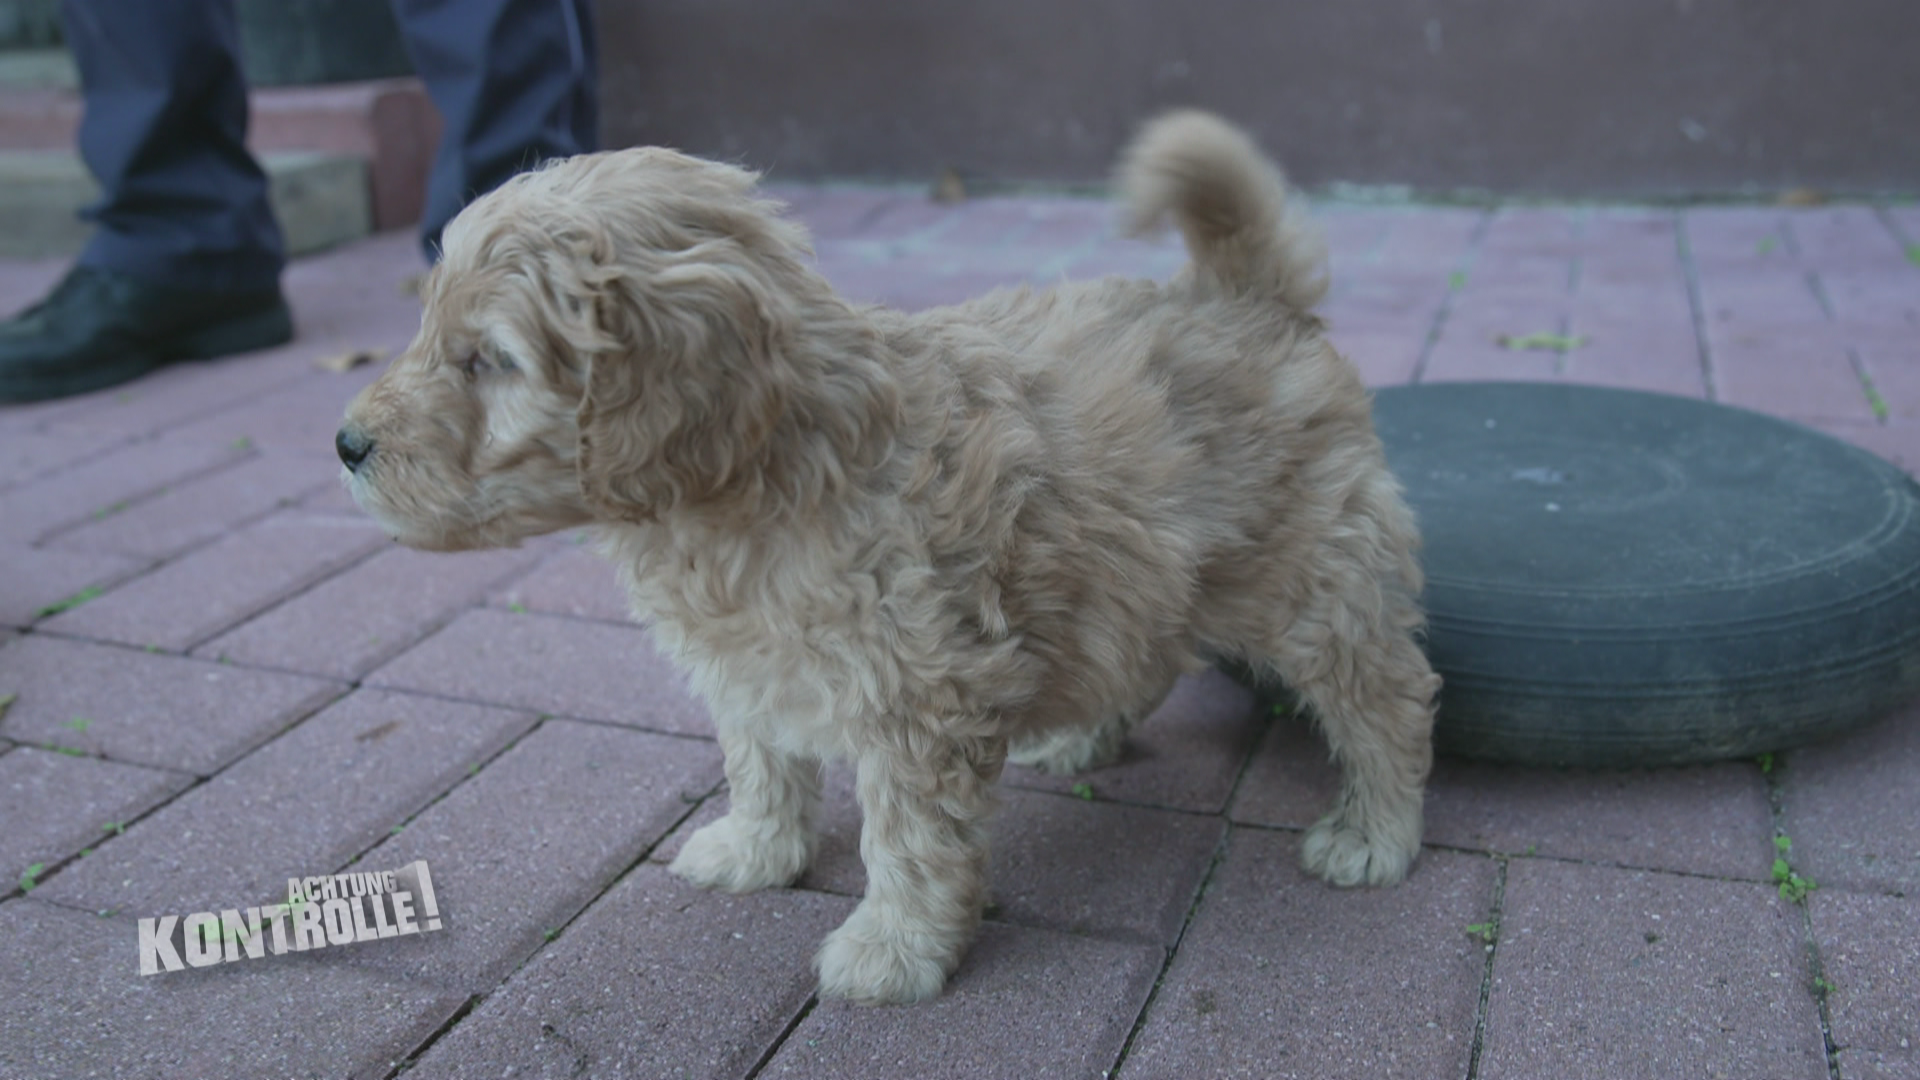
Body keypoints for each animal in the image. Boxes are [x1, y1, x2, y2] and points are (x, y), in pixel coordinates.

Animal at [337, 109, 1443, 999]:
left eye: (488, 360)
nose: (346, 444)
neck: (762, 474)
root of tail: (1239, 291)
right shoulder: (752, 665)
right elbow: (759, 756)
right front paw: (759, 848)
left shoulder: (920, 696)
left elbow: (909, 841)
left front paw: (893, 950)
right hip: (1135, 567)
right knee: (1144, 648)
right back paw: (1079, 735)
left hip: (1317, 575)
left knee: (1386, 699)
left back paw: (1376, 834)